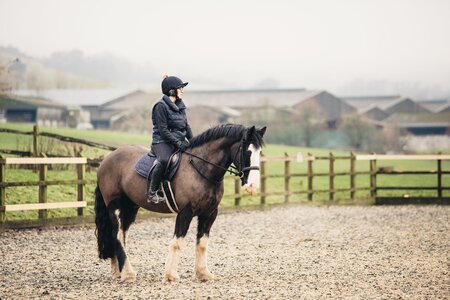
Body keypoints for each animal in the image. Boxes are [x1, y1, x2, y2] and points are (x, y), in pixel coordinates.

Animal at [93, 123, 266, 282]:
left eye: (259, 152)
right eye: (247, 151)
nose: (252, 187)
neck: (202, 168)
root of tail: (107, 159)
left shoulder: (209, 213)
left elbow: (202, 243)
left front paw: (203, 274)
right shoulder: (185, 212)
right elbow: (177, 243)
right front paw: (170, 276)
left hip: (130, 208)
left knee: (120, 235)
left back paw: (118, 272)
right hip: (115, 206)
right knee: (117, 235)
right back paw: (128, 274)